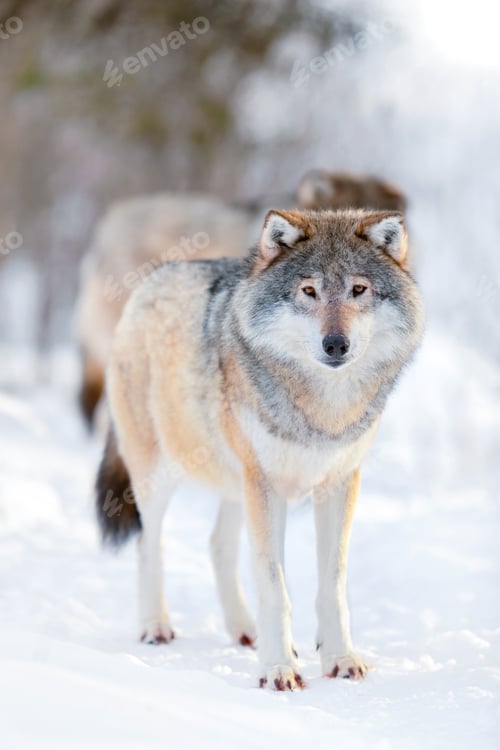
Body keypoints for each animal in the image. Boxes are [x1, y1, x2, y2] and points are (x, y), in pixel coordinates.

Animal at [95, 207, 423, 690]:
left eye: (358, 290)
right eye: (308, 291)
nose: (335, 344)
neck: (321, 410)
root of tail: (151, 278)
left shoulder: (339, 482)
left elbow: (333, 585)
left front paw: (339, 658)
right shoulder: (266, 485)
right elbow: (274, 586)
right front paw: (278, 669)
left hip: (235, 484)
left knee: (217, 545)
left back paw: (244, 630)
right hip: (162, 475)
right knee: (149, 542)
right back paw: (156, 626)